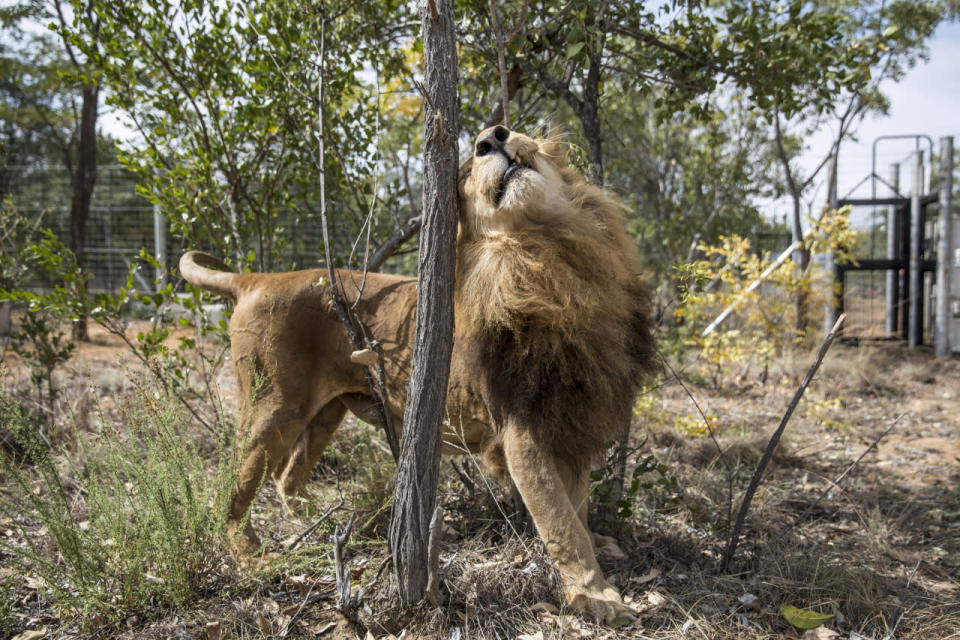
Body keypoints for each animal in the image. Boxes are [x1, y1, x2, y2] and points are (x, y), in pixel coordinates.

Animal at [182, 124, 652, 620]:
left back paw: (327, 520)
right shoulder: (522, 431)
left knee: (287, 479)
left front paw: (597, 552)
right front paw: (595, 596)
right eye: (465, 171)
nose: (492, 136)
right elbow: (561, 523)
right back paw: (253, 555)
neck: (548, 254)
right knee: (233, 488)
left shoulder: (569, 414)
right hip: (273, 407)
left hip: (327, 411)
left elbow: (578, 507)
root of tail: (256, 279)